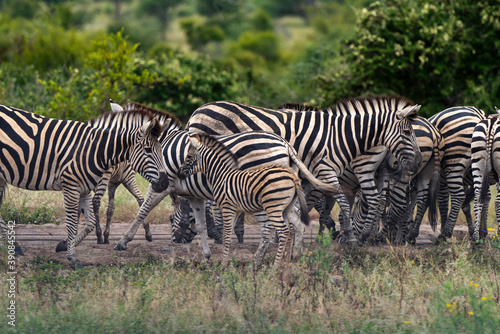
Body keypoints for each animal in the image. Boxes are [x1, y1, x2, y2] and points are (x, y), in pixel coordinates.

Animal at [0, 103, 170, 268]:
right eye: (147, 150)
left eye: (161, 149)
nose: (165, 183)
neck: (94, 150)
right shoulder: (72, 186)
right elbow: (72, 223)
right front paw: (73, 257)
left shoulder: (84, 188)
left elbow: (90, 222)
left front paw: (65, 245)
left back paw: (14, 245)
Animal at [178, 134, 312, 268]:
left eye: (189, 156)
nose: (179, 173)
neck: (220, 175)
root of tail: (293, 176)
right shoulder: (236, 210)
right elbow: (228, 235)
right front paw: (226, 263)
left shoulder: (227, 207)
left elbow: (226, 236)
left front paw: (223, 265)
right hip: (287, 207)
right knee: (290, 231)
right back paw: (285, 265)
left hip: (273, 207)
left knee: (283, 231)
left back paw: (275, 267)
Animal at [187, 96, 422, 243]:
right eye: (407, 132)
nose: (418, 162)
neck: (340, 136)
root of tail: (197, 112)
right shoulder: (328, 171)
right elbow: (342, 202)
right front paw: (350, 235)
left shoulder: (311, 175)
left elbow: (307, 204)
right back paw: (219, 233)